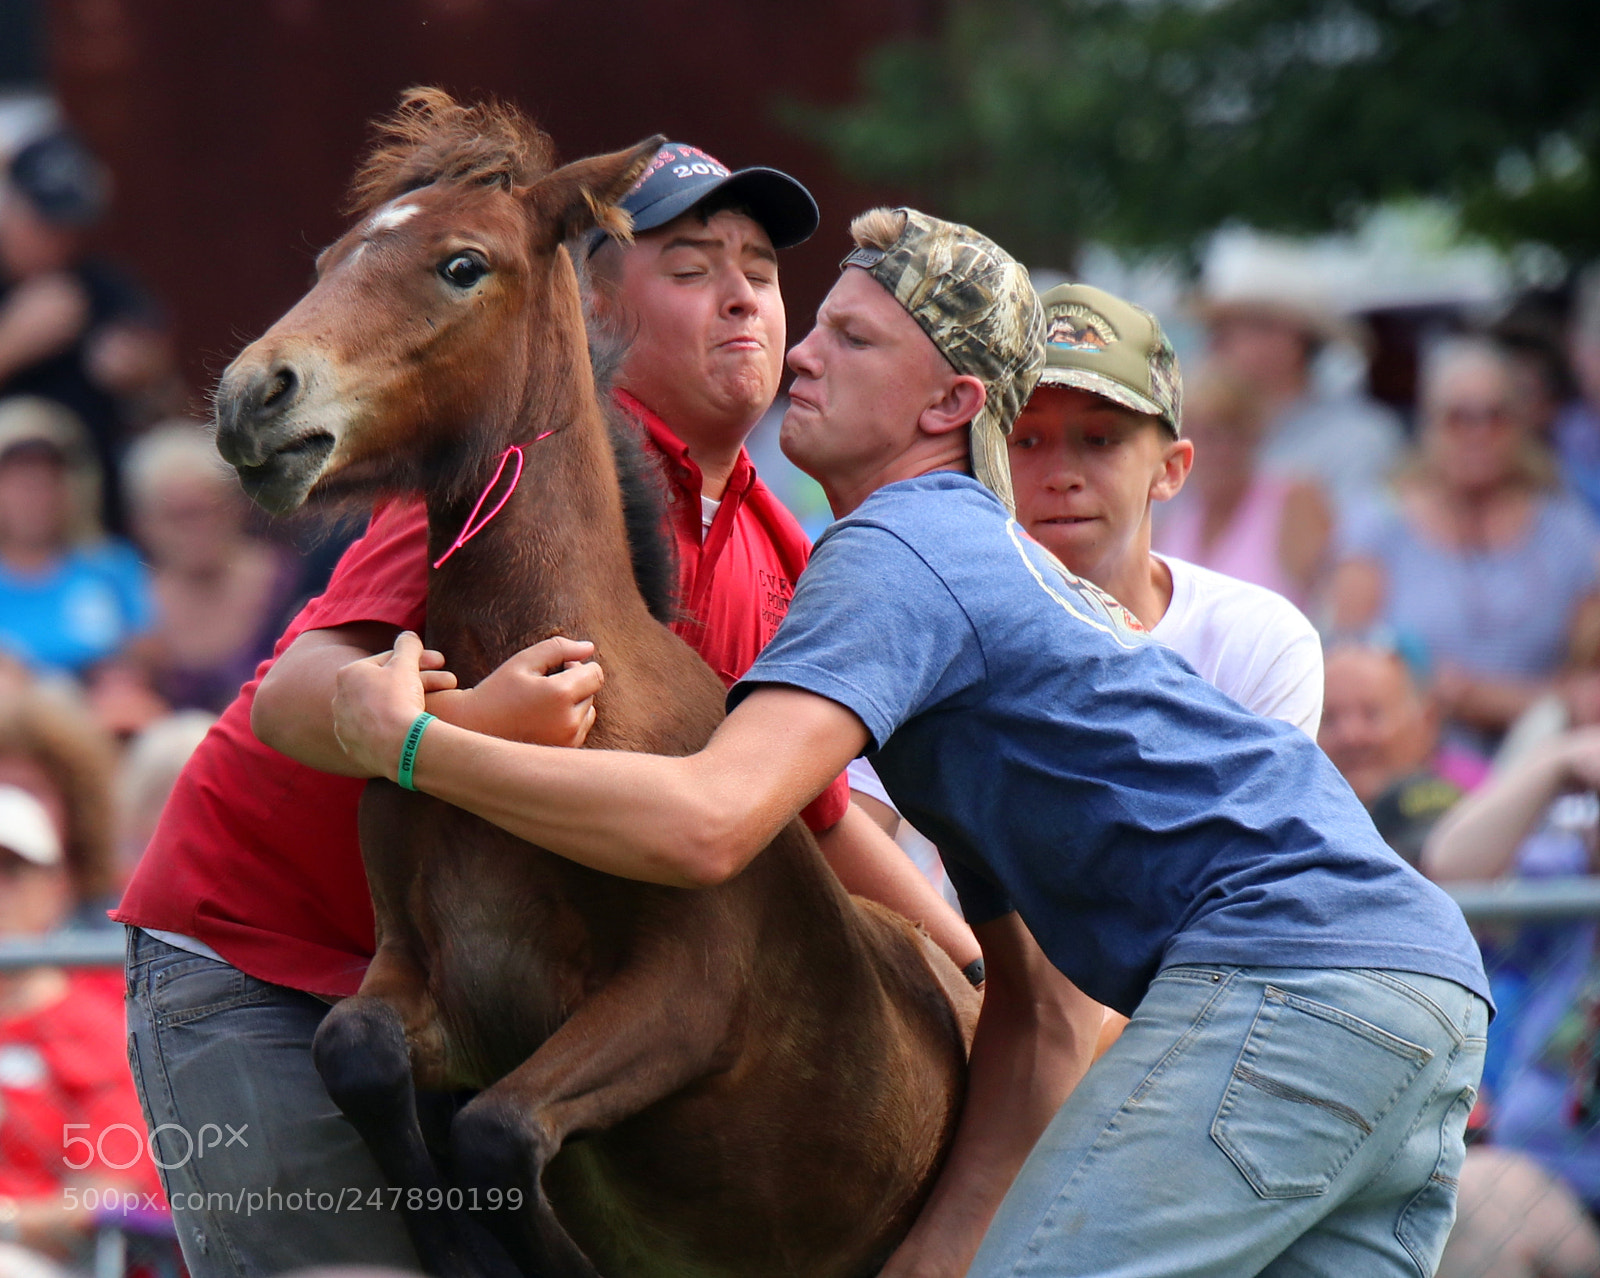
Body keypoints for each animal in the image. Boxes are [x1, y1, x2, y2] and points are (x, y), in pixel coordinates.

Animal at [213, 88, 978, 1278]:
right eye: (332, 258)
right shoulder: (425, 978)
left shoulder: (688, 999)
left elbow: (498, 1132)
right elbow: (358, 1048)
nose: (256, 394)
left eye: (463, 265)